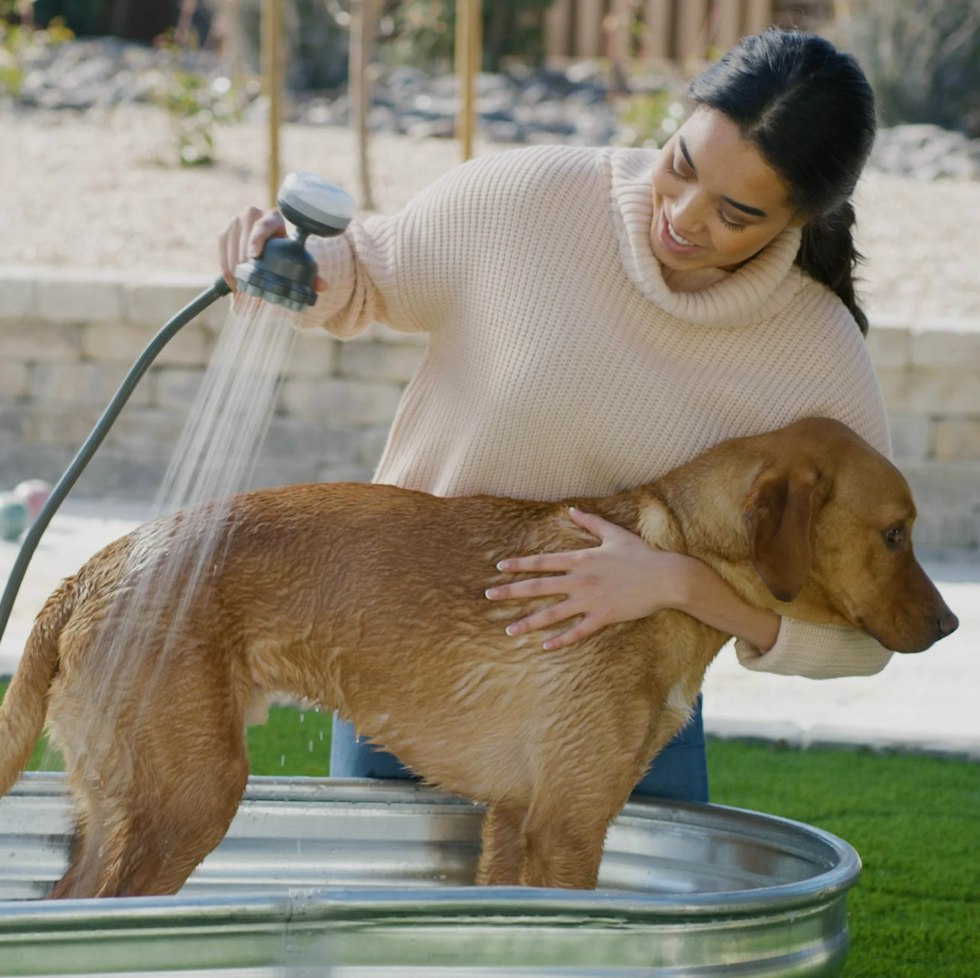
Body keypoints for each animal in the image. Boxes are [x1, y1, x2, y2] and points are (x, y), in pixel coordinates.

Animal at [0, 416, 956, 896]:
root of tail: (87, 571)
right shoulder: (571, 827)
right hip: (192, 800)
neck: (673, 550)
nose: (952, 625)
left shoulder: (513, 821)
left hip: (123, 807)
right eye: (895, 534)